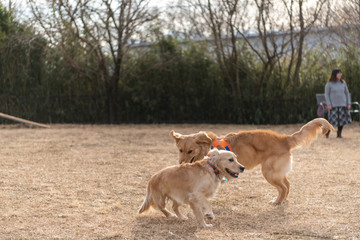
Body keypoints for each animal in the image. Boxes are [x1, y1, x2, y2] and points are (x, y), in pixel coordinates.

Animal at [170, 118, 334, 204]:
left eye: (190, 151)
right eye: (180, 150)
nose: (181, 164)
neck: (208, 147)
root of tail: (284, 139)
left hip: (269, 173)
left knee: (283, 187)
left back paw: (276, 202)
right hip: (277, 173)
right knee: (287, 185)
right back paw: (282, 201)